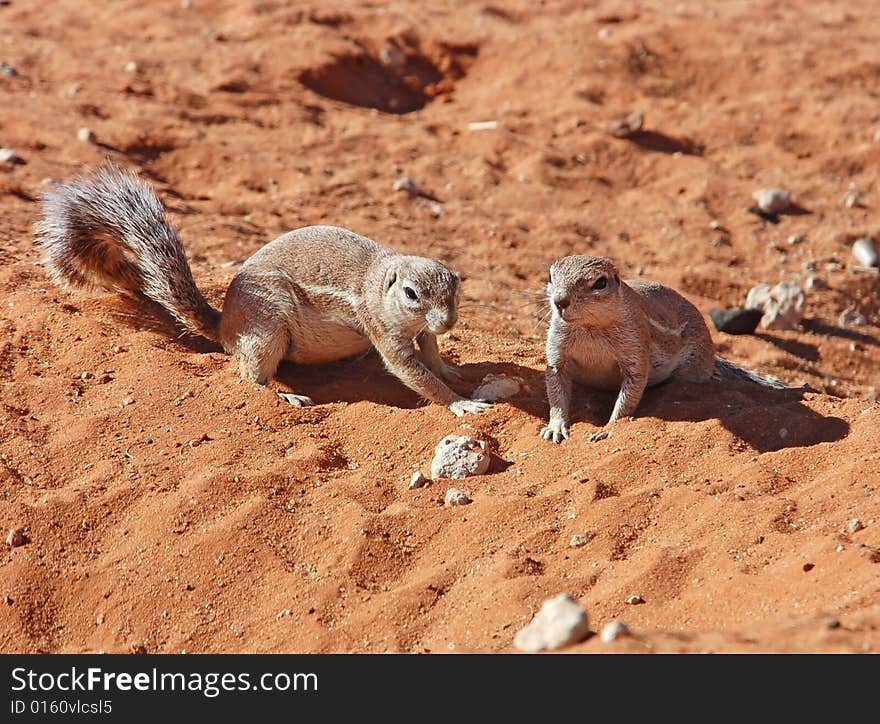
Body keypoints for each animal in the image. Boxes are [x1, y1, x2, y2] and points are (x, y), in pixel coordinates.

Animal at [37, 162, 492, 416]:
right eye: (411, 294)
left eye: (455, 289)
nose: (447, 322)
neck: (379, 283)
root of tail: (224, 325)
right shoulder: (383, 332)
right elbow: (413, 373)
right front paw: (459, 401)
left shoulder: (423, 333)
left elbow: (431, 354)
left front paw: (451, 369)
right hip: (267, 329)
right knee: (249, 376)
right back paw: (285, 397)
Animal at [540, 258, 788, 444]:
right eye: (550, 277)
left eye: (600, 283)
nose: (560, 301)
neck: (589, 327)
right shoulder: (557, 353)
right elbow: (556, 389)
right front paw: (555, 426)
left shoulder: (635, 346)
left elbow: (630, 394)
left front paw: (608, 428)